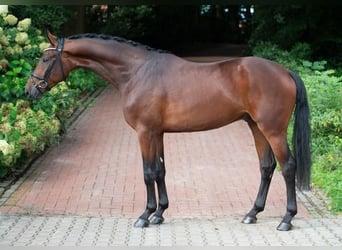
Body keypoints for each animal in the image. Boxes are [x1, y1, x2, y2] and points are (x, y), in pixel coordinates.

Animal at [25, 30, 312, 230]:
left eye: (45, 58)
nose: (29, 91)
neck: (136, 72)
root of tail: (285, 71)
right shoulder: (157, 133)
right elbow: (160, 171)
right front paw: (160, 213)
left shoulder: (144, 132)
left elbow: (147, 172)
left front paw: (145, 215)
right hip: (256, 127)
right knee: (266, 166)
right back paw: (252, 214)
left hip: (273, 130)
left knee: (288, 167)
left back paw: (286, 219)